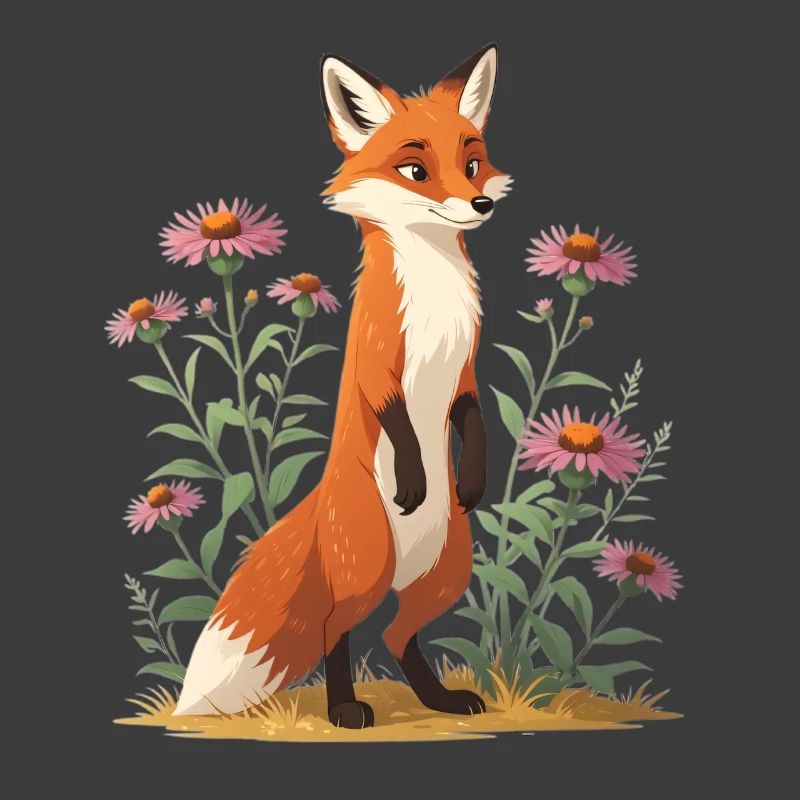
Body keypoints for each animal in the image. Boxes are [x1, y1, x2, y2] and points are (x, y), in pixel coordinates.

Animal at [175, 44, 512, 728]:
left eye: (471, 163)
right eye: (415, 169)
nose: (480, 204)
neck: (434, 296)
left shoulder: (465, 371)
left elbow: (472, 417)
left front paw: (473, 479)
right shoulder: (377, 364)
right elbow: (397, 418)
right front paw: (413, 478)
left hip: (445, 576)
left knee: (396, 635)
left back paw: (439, 699)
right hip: (369, 567)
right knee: (338, 629)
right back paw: (344, 709)